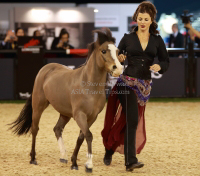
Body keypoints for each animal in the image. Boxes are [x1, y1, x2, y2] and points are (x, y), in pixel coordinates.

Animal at [9, 28, 123, 173]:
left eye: (117, 51)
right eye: (103, 51)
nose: (118, 68)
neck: (88, 85)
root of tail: (46, 68)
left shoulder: (92, 117)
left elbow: (81, 137)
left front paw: (74, 163)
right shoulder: (79, 115)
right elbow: (89, 135)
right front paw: (89, 165)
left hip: (64, 113)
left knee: (57, 129)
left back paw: (63, 156)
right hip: (38, 106)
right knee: (35, 129)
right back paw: (33, 158)